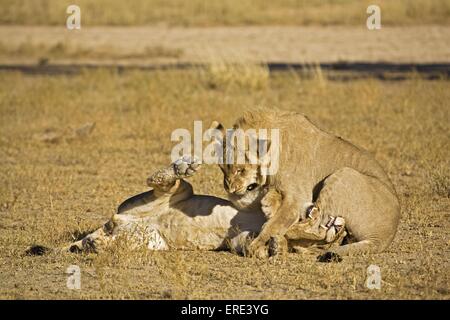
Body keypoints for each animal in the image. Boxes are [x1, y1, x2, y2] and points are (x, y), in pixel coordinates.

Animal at [211, 109, 400, 262]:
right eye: (222, 169)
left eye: (240, 170)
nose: (230, 189)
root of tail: (385, 236)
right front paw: (269, 204)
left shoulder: (297, 198)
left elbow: (273, 224)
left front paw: (255, 246)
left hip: (344, 174)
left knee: (318, 226)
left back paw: (281, 240)